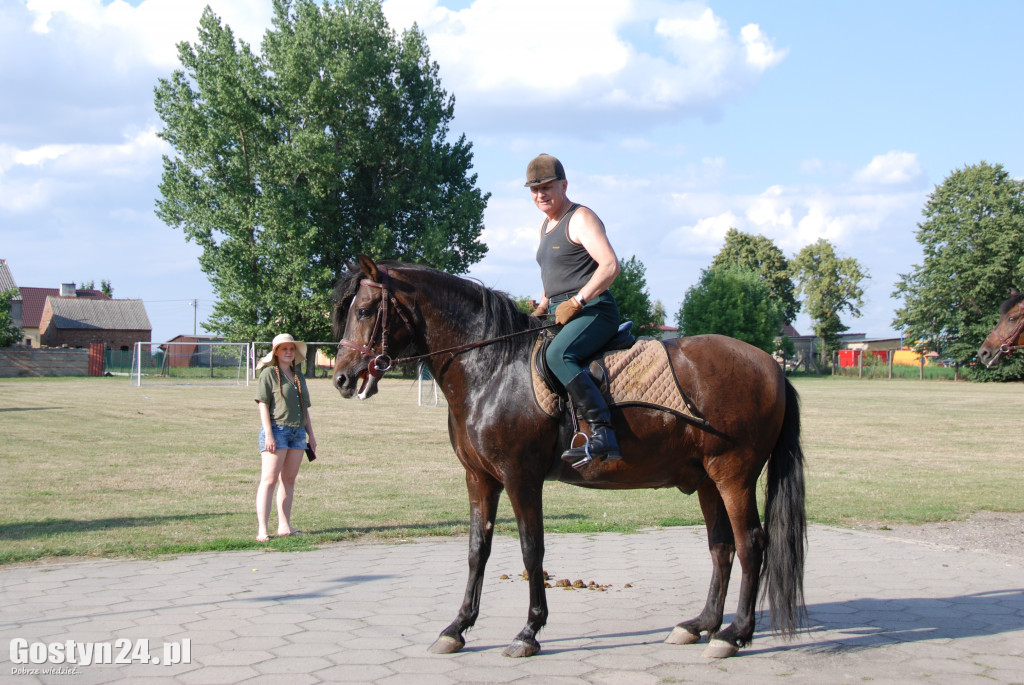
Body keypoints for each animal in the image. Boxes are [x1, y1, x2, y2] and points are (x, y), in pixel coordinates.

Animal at [331, 254, 802, 655]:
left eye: (365, 311)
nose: (341, 378)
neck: (493, 367)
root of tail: (772, 366)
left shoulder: (520, 478)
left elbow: (531, 550)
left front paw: (529, 631)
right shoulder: (480, 478)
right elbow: (477, 549)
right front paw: (457, 627)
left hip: (733, 475)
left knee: (751, 543)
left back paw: (734, 634)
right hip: (706, 479)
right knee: (722, 546)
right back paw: (701, 624)